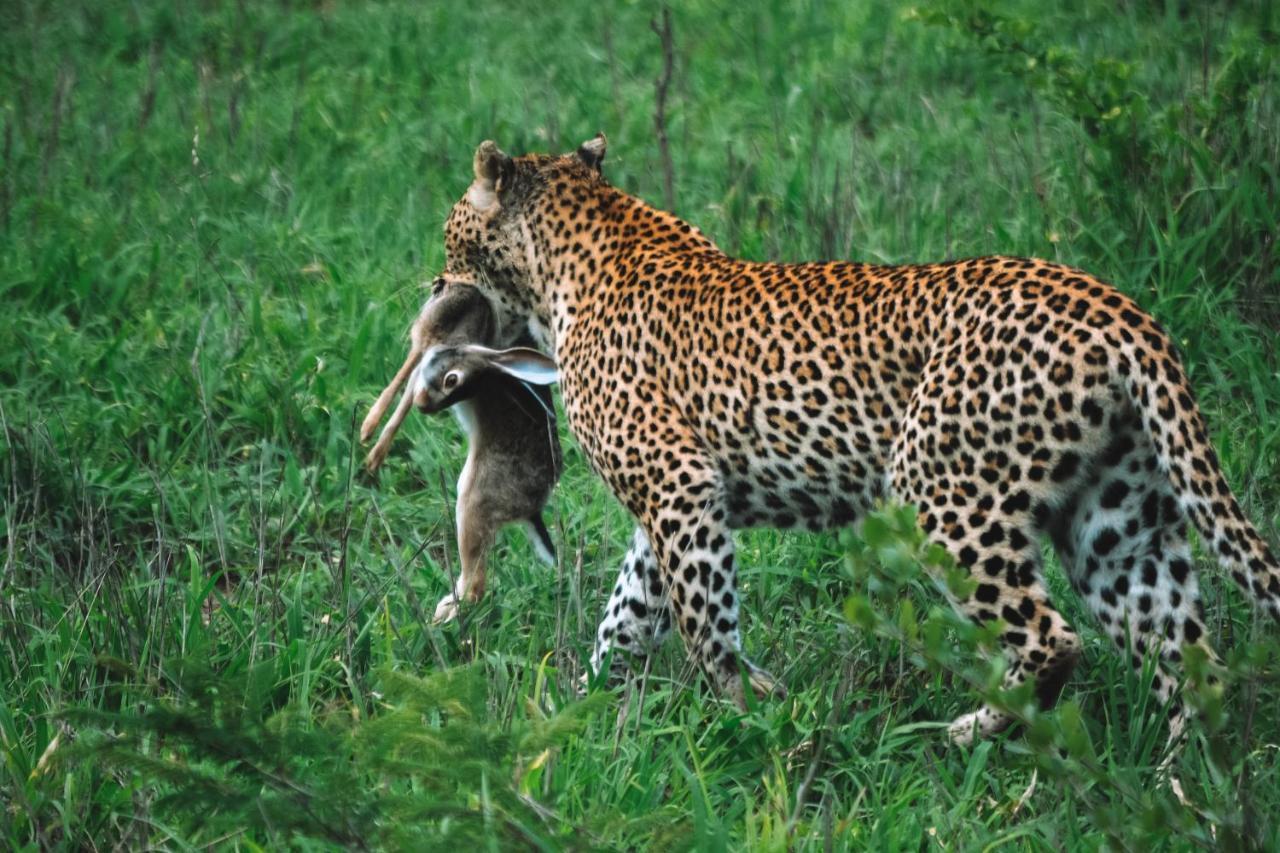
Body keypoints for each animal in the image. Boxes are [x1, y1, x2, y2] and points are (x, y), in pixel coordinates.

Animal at [360, 281, 560, 622]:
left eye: (452, 380)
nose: (425, 407)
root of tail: (532, 510)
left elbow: (405, 385)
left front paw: (371, 444)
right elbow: (407, 381)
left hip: (472, 503)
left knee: (476, 581)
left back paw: (443, 615)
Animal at [432, 131, 1280, 737]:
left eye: (449, 231)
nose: (433, 284)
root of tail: (1121, 310)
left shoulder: (678, 485)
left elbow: (703, 619)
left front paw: (742, 709)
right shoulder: (674, 504)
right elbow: (630, 611)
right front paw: (581, 703)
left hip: (945, 496)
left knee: (1054, 637)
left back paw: (972, 728)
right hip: (1117, 520)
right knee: (1188, 659)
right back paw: (1181, 787)